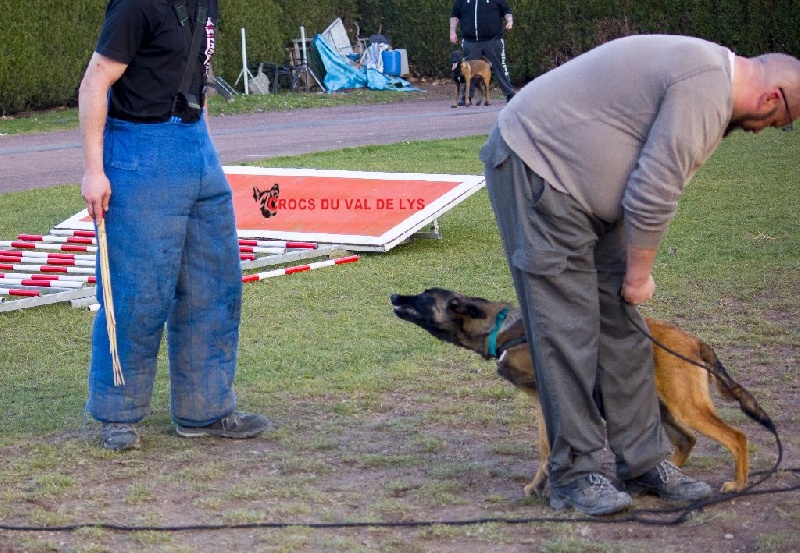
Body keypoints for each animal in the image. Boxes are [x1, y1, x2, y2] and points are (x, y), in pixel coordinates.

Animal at [390, 288, 776, 496]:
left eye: (425, 297)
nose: (394, 295)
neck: (504, 329)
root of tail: (693, 340)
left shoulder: (548, 399)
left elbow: (546, 449)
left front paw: (540, 486)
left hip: (684, 405)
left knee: (736, 436)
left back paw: (738, 483)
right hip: (661, 406)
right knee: (686, 440)